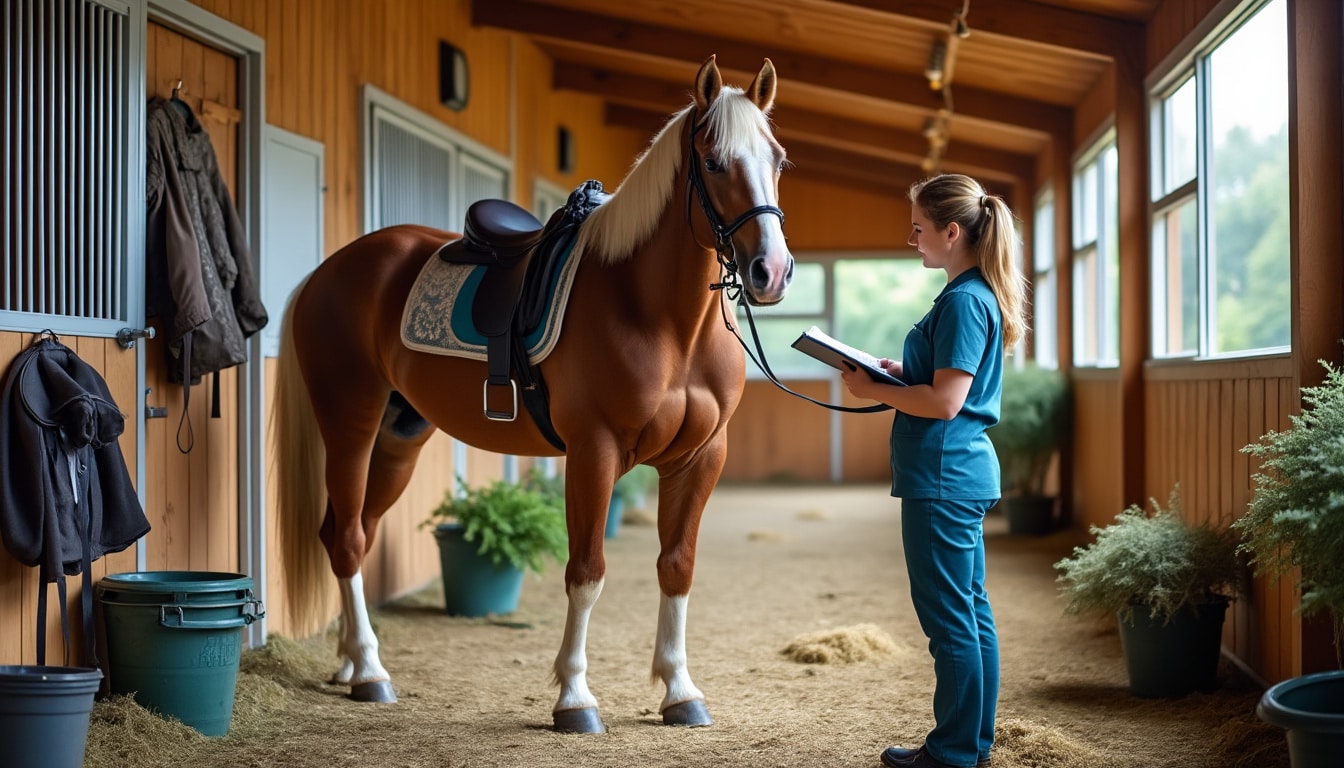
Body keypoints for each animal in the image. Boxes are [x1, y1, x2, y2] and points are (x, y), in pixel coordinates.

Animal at [272, 55, 793, 733]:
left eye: (778, 160)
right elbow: (587, 572)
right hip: (350, 423)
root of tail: (327, 271)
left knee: (347, 528)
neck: (657, 316)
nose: (771, 272)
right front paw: (575, 698)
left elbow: (677, 568)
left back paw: (348, 666)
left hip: (398, 438)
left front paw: (680, 691)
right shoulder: (594, 453)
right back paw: (370, 672)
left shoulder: (700, 457)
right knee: (350, 540)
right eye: (713, 161)